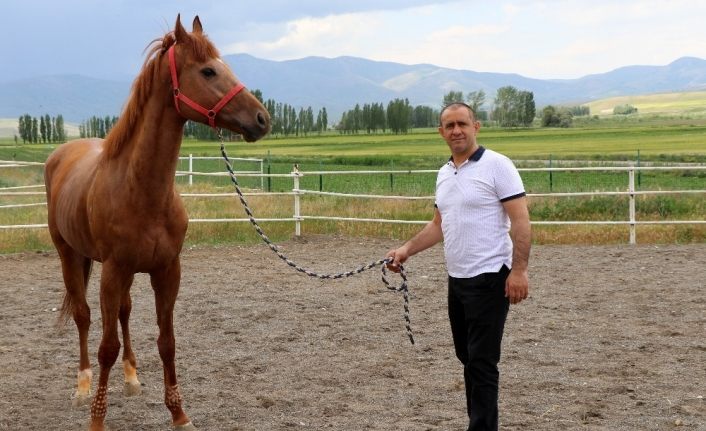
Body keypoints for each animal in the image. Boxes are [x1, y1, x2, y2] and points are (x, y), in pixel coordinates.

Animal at [43, 15, 270, 430]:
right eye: (208, 70)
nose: (262, 119)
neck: (143, 189)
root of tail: (63, 153)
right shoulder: (113, 270)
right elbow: (106, 346)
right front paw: (97, 418)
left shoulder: (167, 270)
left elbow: (167, 342)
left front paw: (179, 413)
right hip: (69, 255)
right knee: (84, 317)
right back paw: (82, 387)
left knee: (124, 313)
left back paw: (132, 378)